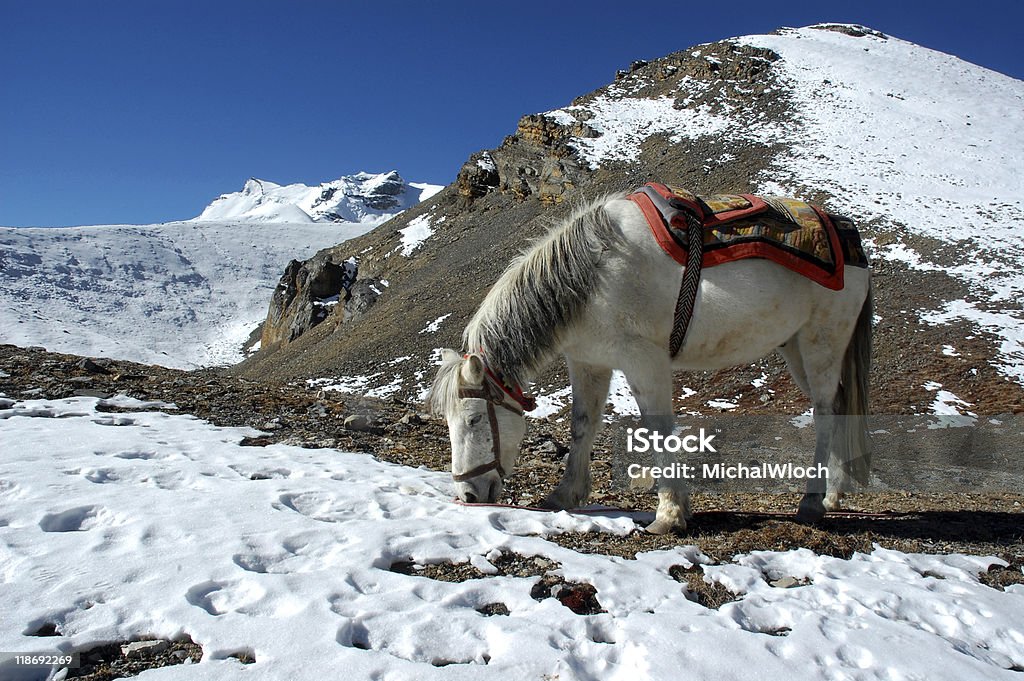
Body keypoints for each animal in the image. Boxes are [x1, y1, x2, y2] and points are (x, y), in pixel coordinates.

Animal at [428, 191, 868, 532]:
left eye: (473, 420)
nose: (467, 495)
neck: (593, 276)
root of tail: (849, 238)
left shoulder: (642, 360)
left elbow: (658, 429)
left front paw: (669, 514)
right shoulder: (588, 361)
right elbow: (582, 425)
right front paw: (564, 494)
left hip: (822, 342)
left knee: (825, 413)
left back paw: (812, 503)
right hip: (795, 348)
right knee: (839, 407)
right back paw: (834, 497)